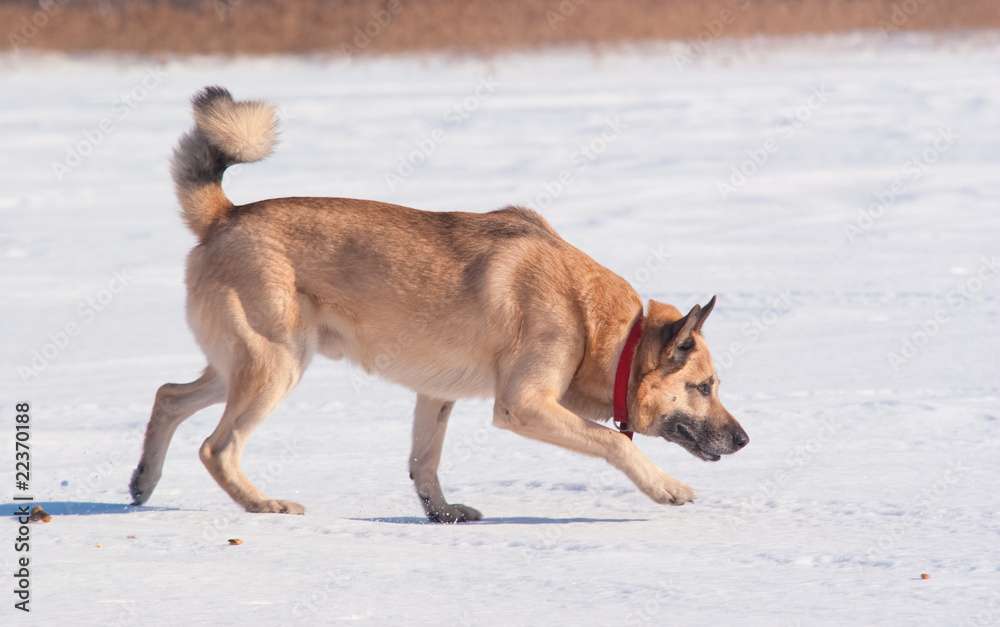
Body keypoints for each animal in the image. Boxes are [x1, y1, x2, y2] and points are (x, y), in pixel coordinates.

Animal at [129, 87, 748, 520]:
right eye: (704, 387)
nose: (744, 439)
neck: (603, 330)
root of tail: (224, 215)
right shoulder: (522, 405)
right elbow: (613, 442)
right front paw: (666, 487)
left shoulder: (437, 395)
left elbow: (423, 464)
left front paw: (442, 514)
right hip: (276, 366)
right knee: (216, 446)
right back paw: (263, 504)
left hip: (245, 365)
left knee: (169, 396)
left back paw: (143, 481)